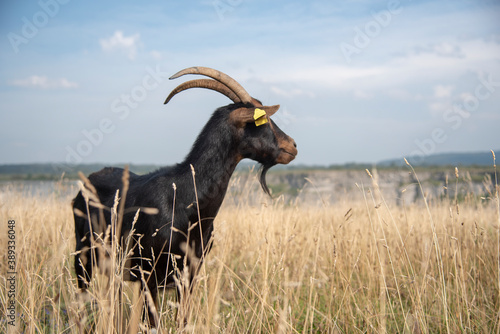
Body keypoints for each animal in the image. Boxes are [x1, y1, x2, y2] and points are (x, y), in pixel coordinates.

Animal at [73, 66, 298, 326]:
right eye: (262, 121)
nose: (292, 146)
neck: (185, 198)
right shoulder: (148, 274)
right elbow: (151, 323)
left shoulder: (189, 274)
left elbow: (183, 319)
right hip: (82, 258)